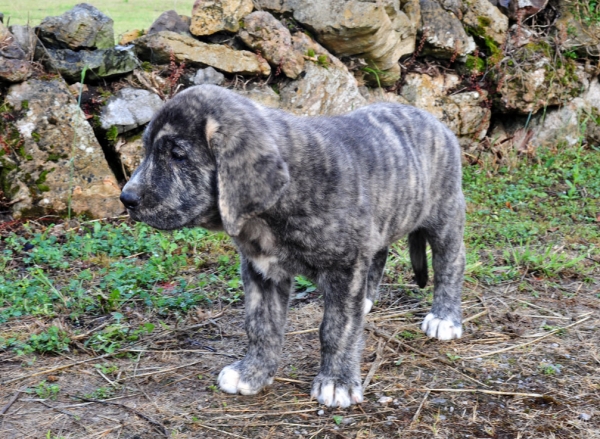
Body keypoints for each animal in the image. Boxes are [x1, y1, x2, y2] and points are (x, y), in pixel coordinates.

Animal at [119, 85, 466, 410]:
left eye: (178, 154)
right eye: (148, 150)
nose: (127, 198)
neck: (273, 211)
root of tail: (436, 121)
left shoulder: (345, 265)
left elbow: (337, 328)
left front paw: (337, 381)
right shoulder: (261, 270)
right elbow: (261, 324)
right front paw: (252, 372)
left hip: (446, 214)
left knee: (451, 264)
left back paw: (444, 318)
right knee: (379, 255)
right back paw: (366, 301)